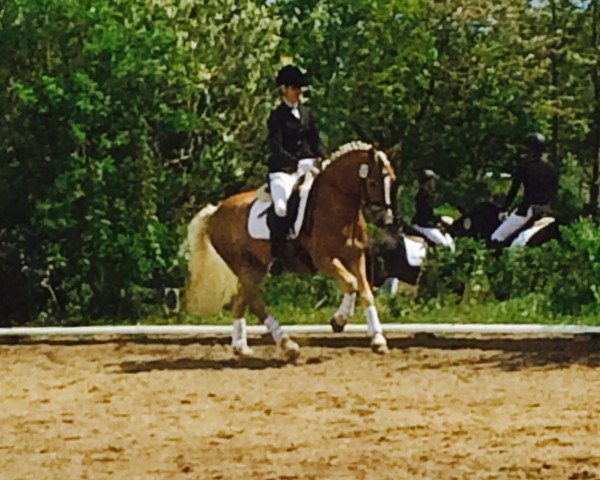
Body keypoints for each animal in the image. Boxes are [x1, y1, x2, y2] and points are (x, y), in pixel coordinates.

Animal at [185, 141, 396, 358]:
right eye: (372, 183)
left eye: (393, 181)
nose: (386, 219)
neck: (336, 207)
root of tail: (216, 210)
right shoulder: (323, 259)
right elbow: (351, 283)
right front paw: (339, 321)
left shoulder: (356, 256)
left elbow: (365, 291)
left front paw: (377, 339)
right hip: (243, 265)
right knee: (253, 300)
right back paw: (286, 344)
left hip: (255, 267)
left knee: (245, 299)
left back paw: (242, 347)